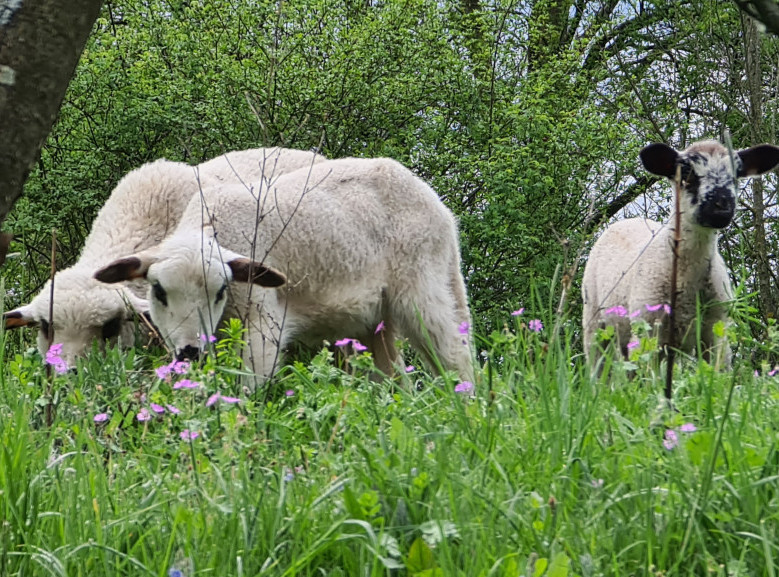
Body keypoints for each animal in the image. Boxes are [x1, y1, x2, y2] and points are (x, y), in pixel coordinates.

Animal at [96, 158, 476, 382]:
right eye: (158, 291)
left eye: (220, 290)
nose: (190, 351)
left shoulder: (263, 325)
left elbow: (247, 388)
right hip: (372, 319)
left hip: (422, 284)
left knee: (454, 353)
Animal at [580, 138, 779, 368]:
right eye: (687, 172)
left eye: (737, 174)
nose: (722, 205)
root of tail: (627, 221)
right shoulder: (647, 327)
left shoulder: (716, 328)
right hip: (596, 323)